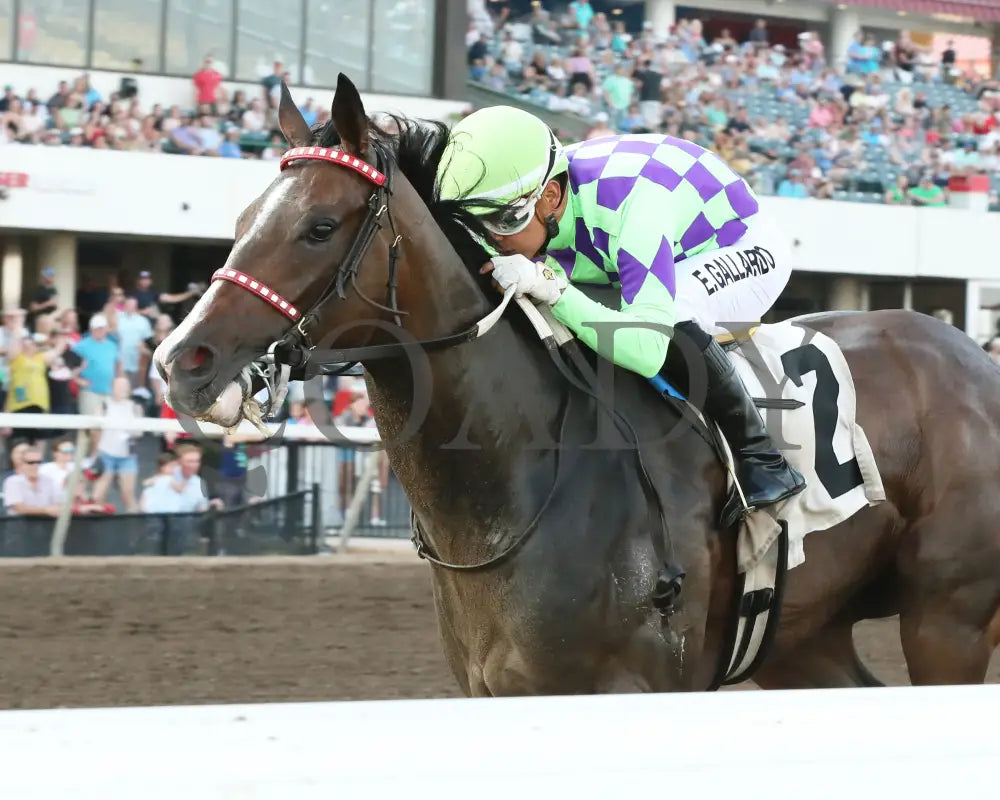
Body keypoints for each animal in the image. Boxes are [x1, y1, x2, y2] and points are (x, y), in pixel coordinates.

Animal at [152, 78, 1000, 696]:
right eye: (243, 219)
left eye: (319, 228)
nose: (181, 361)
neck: (517, 483)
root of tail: (973, 356)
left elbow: (653, 326)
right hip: (802, 636)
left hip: (947, 618)